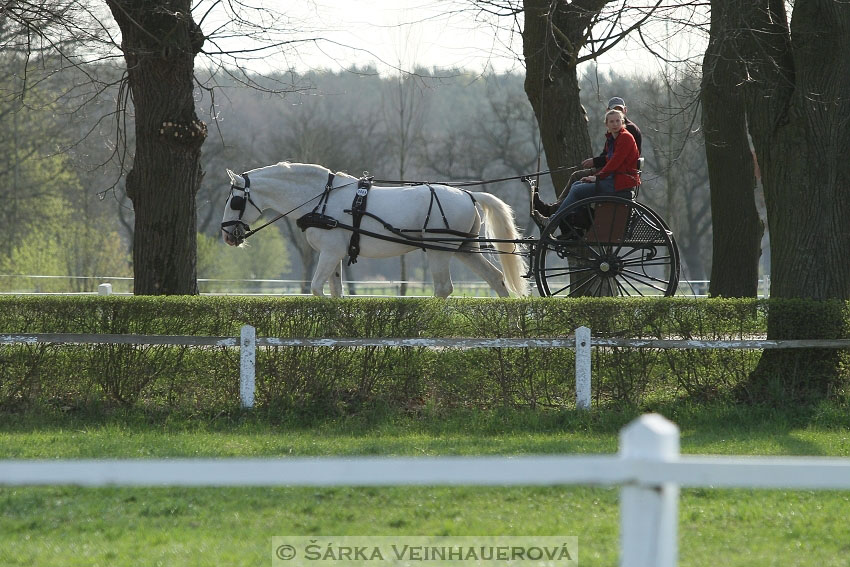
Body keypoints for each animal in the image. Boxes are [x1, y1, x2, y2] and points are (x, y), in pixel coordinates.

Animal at [220, 162, 524, 300]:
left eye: (235, 201)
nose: (227, 235)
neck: (322, 198)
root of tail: (469, 195)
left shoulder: (329, 253)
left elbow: (317, 289)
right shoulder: (336, 255)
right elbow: (335, 292)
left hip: (440, 251)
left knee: (443, 289)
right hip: (465, 250)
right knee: (496, 279)